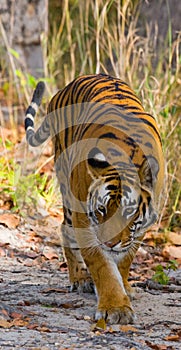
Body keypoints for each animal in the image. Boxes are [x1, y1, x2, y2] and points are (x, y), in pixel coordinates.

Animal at [24, 72, 164, 324]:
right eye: (101, 210)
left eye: (129, 212)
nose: (109, 243)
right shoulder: (85, 220)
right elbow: (101, 265)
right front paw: (116, 308)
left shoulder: (141, 227)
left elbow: (125, 259)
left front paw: (125, 287)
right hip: (67, 189)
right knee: (64, 228)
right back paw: (80, 279)